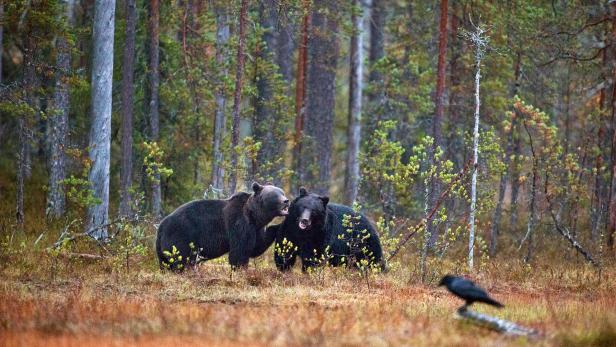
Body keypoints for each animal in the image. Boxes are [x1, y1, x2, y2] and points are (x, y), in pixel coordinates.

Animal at [154, 182, 288, 272]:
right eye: (275, 195)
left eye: (282, 192)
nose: (286, 201)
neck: (255, 215)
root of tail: (161, 226)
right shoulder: (239, 223)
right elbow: (240, 251)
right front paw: (241, 270)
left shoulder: (256, 228)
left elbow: (258, 246)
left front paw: (278, 225)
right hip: (180, 235)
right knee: (181, 259)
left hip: (163, 247)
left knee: (165, 263)